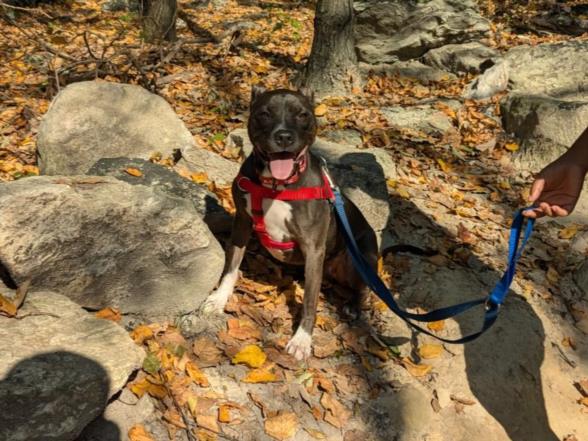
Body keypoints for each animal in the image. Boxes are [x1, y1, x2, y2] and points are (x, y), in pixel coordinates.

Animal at [200, 85, 378, 358]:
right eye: (264, 114)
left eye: (302, 115)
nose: (284, 136)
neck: (276, 185)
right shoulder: (242, 223)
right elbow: (231, 267)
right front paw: (219, 298)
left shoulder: (314, 248)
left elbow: (310, 302)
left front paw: (302, 339)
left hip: (360, 256)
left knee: (363, 287)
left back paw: (353, 306)